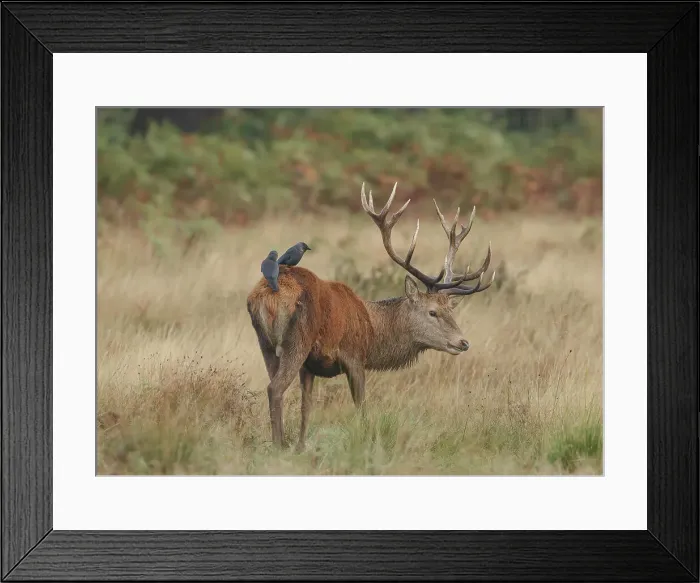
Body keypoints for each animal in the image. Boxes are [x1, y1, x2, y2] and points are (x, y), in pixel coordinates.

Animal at [246, 183, 496, 451]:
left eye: (451, 310)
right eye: (432, 312)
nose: (463, 342)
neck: (373, 331)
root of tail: (263, 297)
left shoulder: (309, 368)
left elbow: (306, 407)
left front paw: (302, 446)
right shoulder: (354, 356)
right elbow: (361, 405)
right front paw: (365, 439)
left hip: (266, 344)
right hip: (297, 340)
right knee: (275, 388)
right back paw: (277, 446)